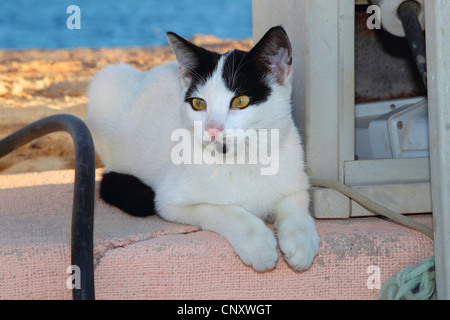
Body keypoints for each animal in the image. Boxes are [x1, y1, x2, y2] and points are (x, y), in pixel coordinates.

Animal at [87, 26, 320, 270]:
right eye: (198, 103)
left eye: (240, 101)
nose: (212, 128)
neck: (245, 159)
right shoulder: (169, 201)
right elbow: (225, 211)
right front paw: (258, 243)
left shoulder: (296, 181)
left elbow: (296, 206)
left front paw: (301, 240)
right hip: (106, 81)